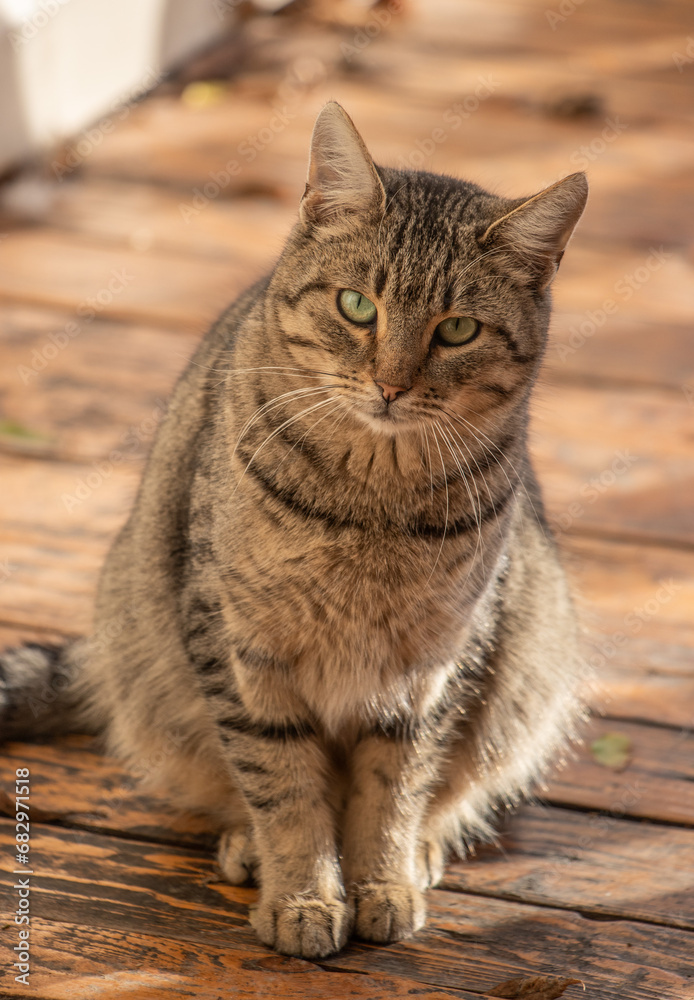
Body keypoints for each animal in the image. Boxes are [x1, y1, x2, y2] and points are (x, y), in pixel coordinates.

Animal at [0, 101, 588, 960]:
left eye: (457, 331)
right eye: (357, 307)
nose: (390, 384)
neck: (372, 500)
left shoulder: (432, 664)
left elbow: (391, 790)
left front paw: (381, 881)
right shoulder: (241, 645)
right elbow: (282, 787)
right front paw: (305, 895)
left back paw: (423, 850)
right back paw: (249, 846)